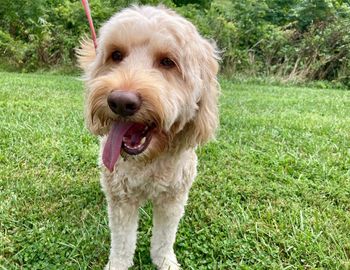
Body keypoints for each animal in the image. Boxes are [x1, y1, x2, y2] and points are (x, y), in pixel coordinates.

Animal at [77, 4, 219, 270]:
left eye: (167, 62)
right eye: (116, 55)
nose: (121, 102)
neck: (148, 160)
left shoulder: (172, 198)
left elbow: (164, 238)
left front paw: (165, 262)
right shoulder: (122, 199)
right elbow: (122, 243)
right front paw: (117, 264)